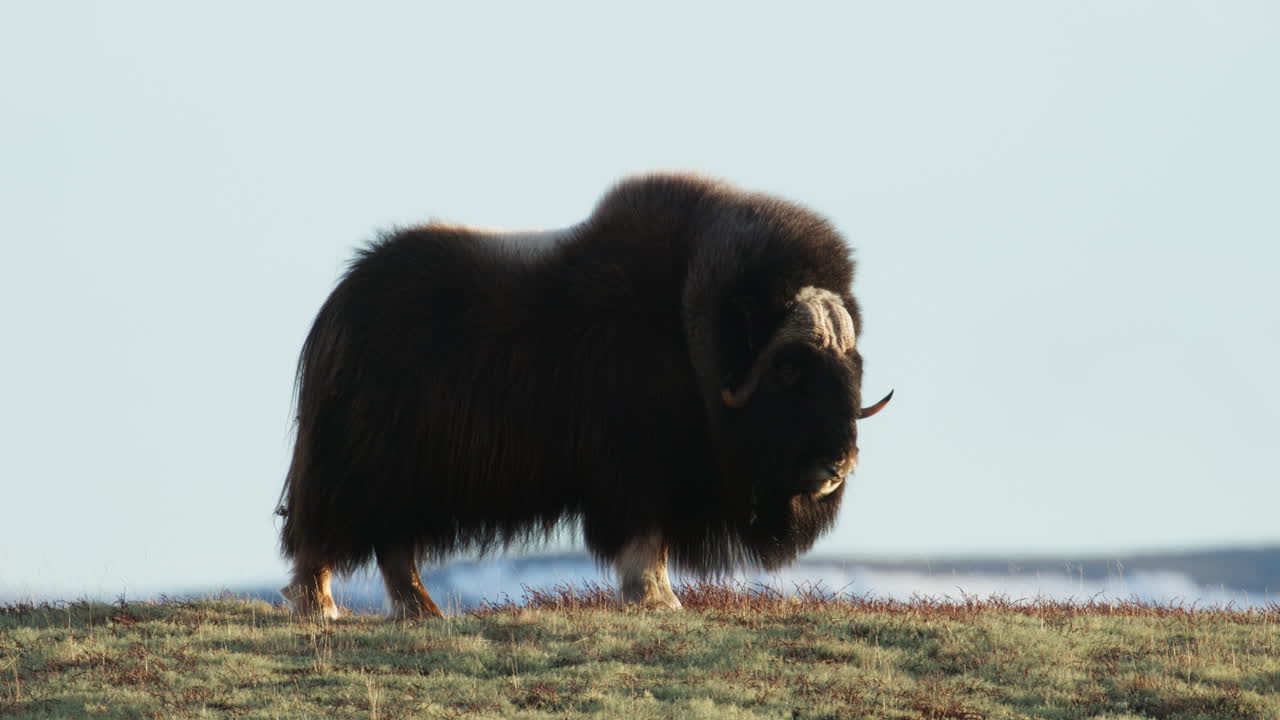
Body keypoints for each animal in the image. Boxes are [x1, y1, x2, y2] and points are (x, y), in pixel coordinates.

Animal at [277, 173, 892, 619]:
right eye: (787, 369)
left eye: (853, 365)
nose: (839, 463)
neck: (692, 337)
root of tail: (341, 304)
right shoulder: (637, 468)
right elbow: (645, 537)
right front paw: (658, 600)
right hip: (363, 464)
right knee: (328, 531)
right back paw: (322, 606)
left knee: (392, 543)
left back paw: (421, 610)